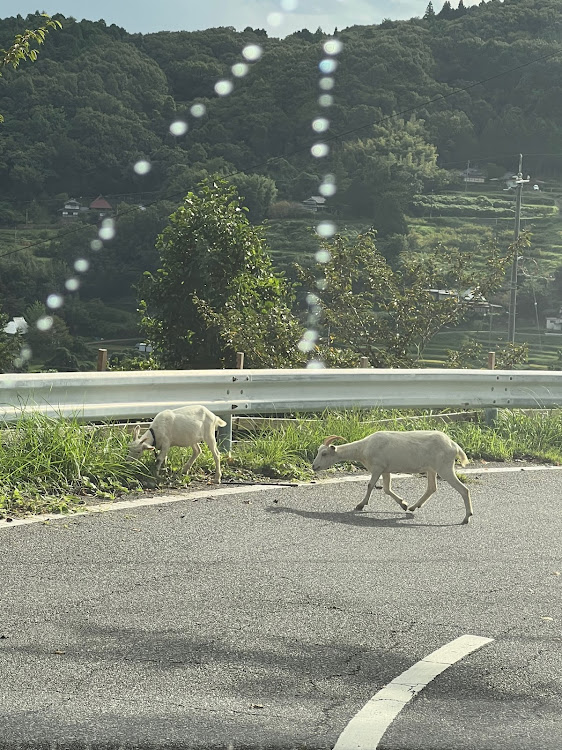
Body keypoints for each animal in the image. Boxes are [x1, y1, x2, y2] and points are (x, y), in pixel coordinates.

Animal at [308, 432, 470, 524]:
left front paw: (360, 505)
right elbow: (386, 489)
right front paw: (403, 504)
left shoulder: (377, 467)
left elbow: (370, 485)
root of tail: (454, 445)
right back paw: (413, 507)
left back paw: (466, 518)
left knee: (464, 490)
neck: (363, 448)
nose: (314, 466)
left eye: (324, 454)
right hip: (432, 469)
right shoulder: (386, 469)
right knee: (431, 488)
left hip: (445, 467)